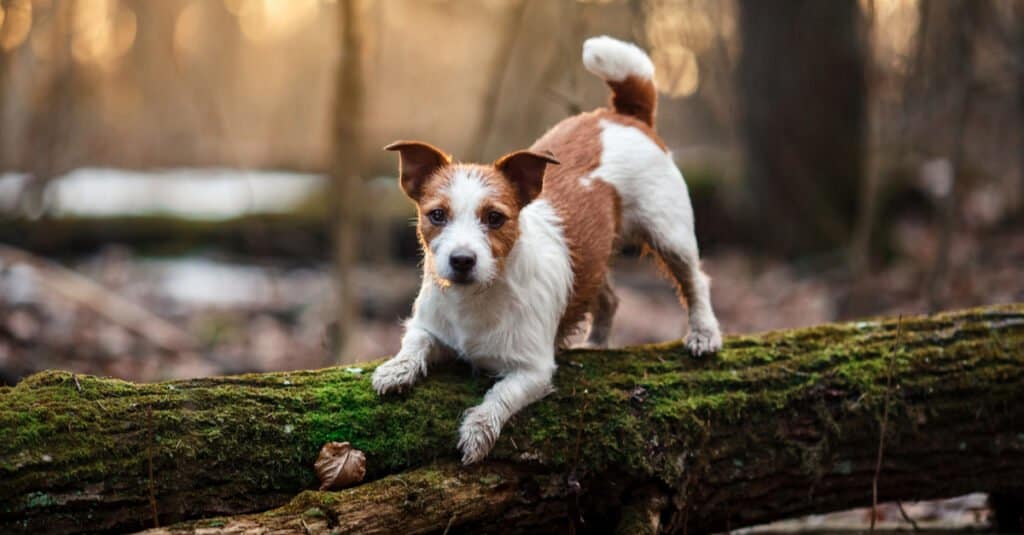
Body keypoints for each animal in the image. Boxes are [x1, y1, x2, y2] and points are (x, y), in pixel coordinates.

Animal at [374, 35, 720, 463]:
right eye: (437, 215)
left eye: (495, 218)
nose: (462, 260)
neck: (478, 299)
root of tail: (623, 115)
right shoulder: (428, 327)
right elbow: (415, 342)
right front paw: (396, 369)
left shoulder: (532, 371)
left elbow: (501, 394)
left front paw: (477, 431)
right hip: (594, 256)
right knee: (608, 298)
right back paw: (597, 344)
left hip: (669, 232)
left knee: (694, 280)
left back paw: (704, 333)